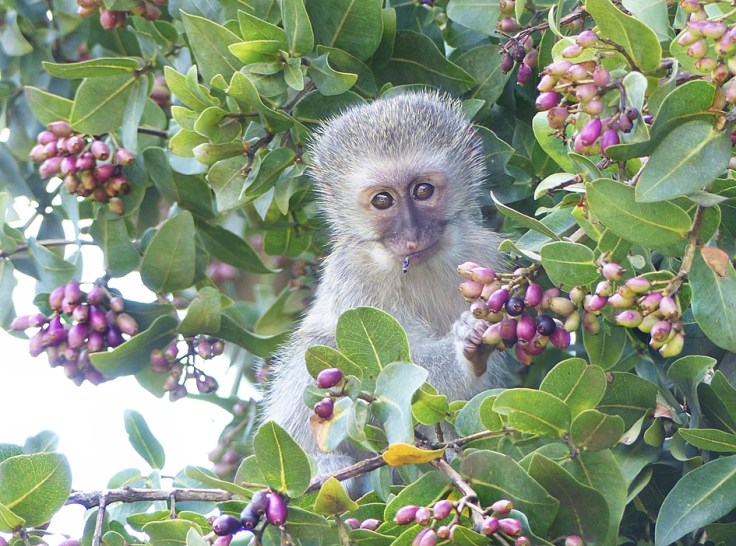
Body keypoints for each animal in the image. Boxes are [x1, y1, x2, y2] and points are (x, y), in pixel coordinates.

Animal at [261, 91, 508, 493]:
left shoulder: (485, 255)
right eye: (382, 200)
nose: (412, 236)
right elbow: (388, 370)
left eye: (422, 191)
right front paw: (464, 352)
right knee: (317, 350)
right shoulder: (355, 277)